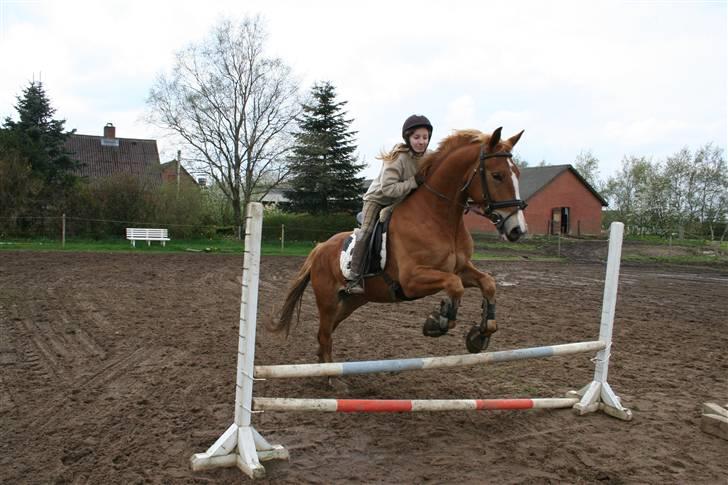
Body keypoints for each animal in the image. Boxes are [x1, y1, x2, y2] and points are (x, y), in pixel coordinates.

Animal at [264, 127, 528, 364]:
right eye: (497, 175)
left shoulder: (461, 269)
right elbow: (455, 286)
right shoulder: (412, 280)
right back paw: (332, 379)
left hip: (350, 302)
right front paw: (438, 322)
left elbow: (488, 283)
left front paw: (480, 333)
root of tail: (320, 248)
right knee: (325, 334)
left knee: (325, 333)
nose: (517, 230)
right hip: (328, 300)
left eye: (517, 174)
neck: (439, 218)